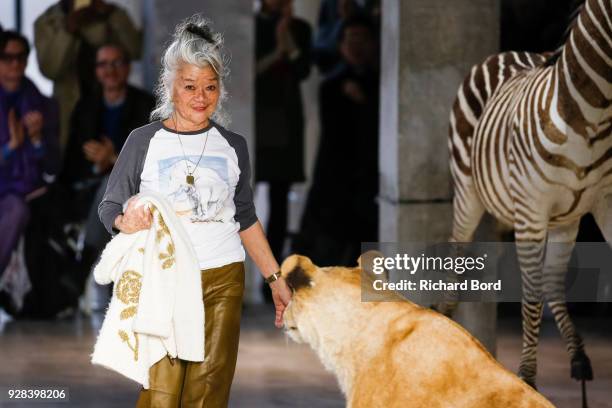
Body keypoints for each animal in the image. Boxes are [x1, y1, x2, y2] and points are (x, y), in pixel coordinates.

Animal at [444, 0, 612, 392]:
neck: (593, 113)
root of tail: (505, 53)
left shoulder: (605, 202)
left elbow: (543, 286)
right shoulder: (531, 212)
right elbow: (531, 296)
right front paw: (528, 380)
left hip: (565, 217)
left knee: (552, 278)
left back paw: (578, 356)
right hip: (468, 191)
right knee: (457, 255)